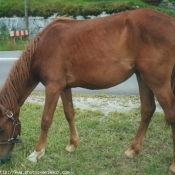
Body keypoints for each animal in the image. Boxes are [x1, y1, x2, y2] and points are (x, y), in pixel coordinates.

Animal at [0, 7, 175, 172]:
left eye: (1, 129)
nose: (3, 159)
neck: (43, 46)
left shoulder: (53, 87)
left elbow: (46, 120)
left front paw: (37, 153)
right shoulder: (64, 87)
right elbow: (69, 113)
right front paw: (73, 144)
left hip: (157, 82)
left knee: (170, 114)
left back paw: (172, 165)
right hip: (143, 77)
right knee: (147, 110)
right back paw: (133, 150)